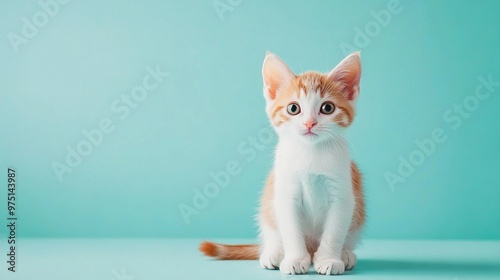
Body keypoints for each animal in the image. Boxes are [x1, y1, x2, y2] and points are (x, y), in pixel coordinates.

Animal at [200, 51, 368, 274]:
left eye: (327, 108)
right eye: (293, 108)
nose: (309, 123)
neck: (310, 152)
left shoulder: (342, 193)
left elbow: (335, 230)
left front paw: (329, 259)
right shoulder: (286, 192)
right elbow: (291, 230)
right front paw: (295, 259)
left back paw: (345, 254)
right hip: (269, 209)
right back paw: (274, 254)